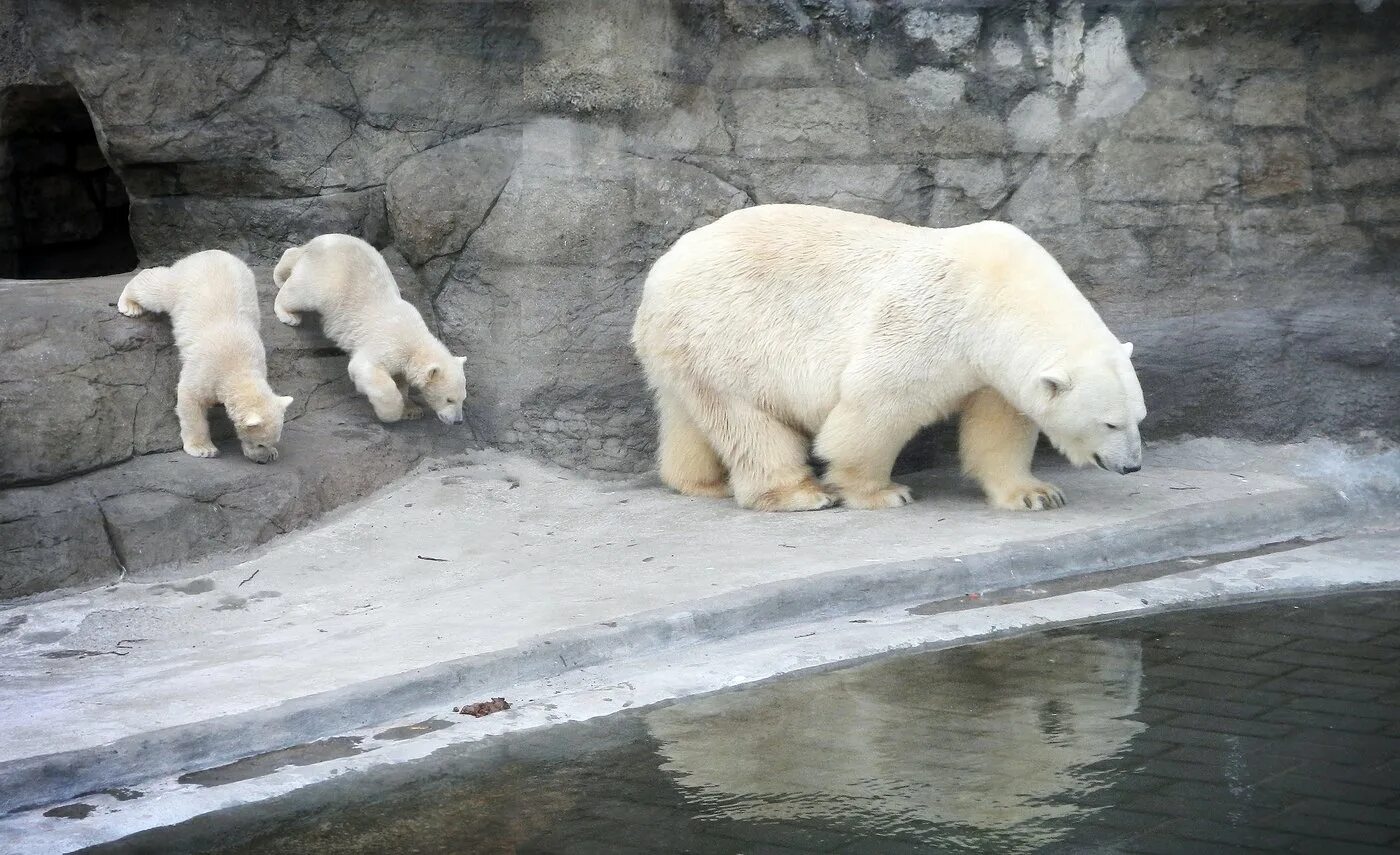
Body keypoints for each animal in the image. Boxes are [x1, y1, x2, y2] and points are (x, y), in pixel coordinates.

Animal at [635, 205, 1148, 514]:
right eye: (1109, 423)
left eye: (1138, 417)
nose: (1132, 467)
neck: (999, 293)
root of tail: (658, 275)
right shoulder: (934, 322)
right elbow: (877, 403)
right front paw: (881, 492)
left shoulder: (991, 368)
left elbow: (999, 426)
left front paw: (1036, 493)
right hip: (729, 332)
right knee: (749, 420)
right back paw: (801, 494)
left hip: (687, 348)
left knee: (690, 413)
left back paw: (699, 482)